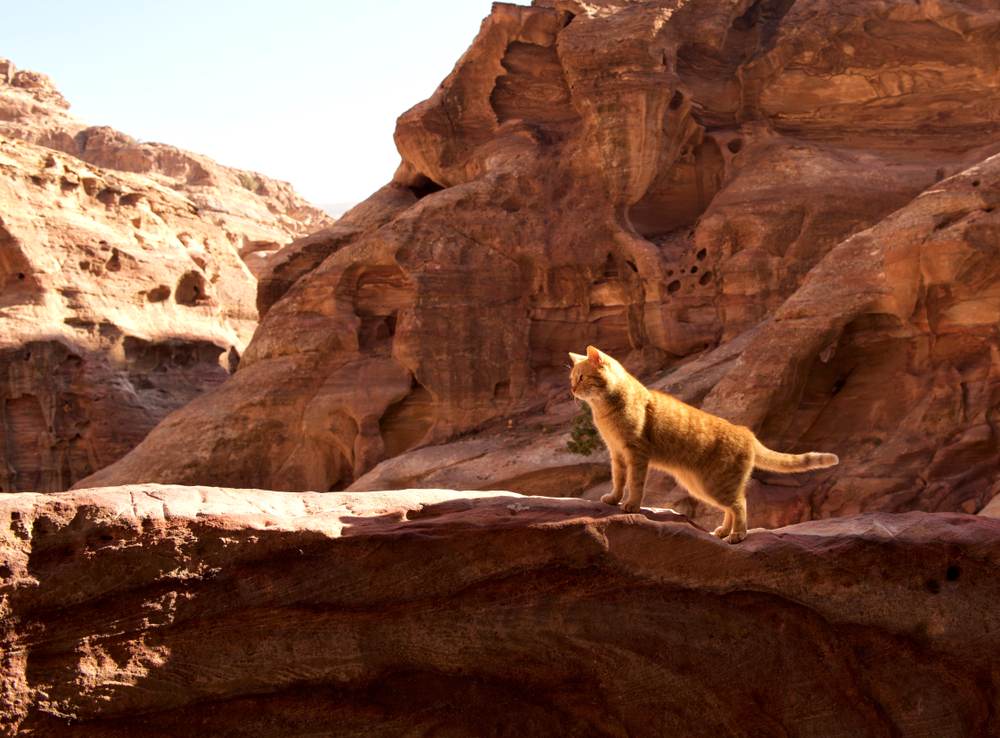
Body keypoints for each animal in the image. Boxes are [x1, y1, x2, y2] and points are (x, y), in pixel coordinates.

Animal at [568, 344, 840, 540]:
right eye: (572, 378)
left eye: (581, 378)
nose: (571, 390)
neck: (605, 409)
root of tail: (747, 433)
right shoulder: (617, 454)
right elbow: (619, 480)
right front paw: (613, 498)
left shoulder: (636, 454)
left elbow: (635, 484)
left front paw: (631, 506)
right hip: (702, 486)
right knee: (732, 506)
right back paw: (723, 532)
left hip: (714, 484)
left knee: (740, 504)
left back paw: (737, 535)